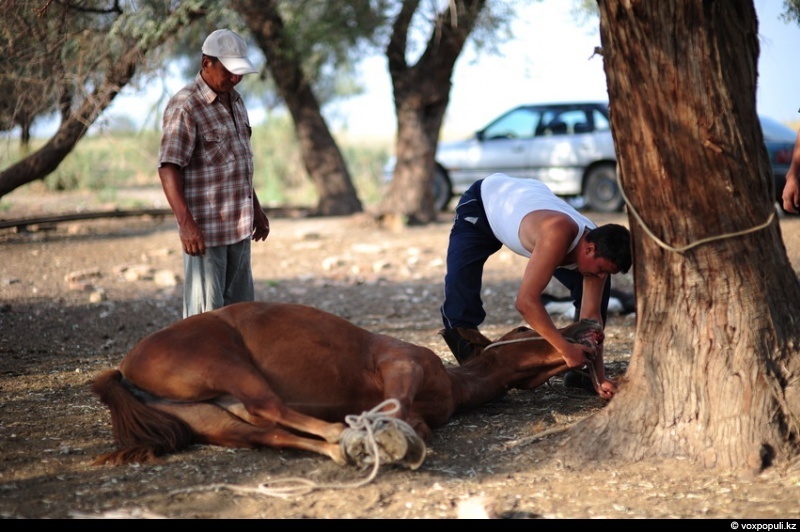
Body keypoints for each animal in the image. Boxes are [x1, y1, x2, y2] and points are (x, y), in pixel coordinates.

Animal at [90, 302, 604, 468]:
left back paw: (340, 448)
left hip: (213, 418)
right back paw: (343, 436)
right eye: (520, 328)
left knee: (265, 433)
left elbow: (411, 419)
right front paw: (385, 436)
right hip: (228, 364)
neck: (453, 383)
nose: (590, 327)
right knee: (267, 409)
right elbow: (395, 409)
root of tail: (124, 371)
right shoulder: (402, 364)